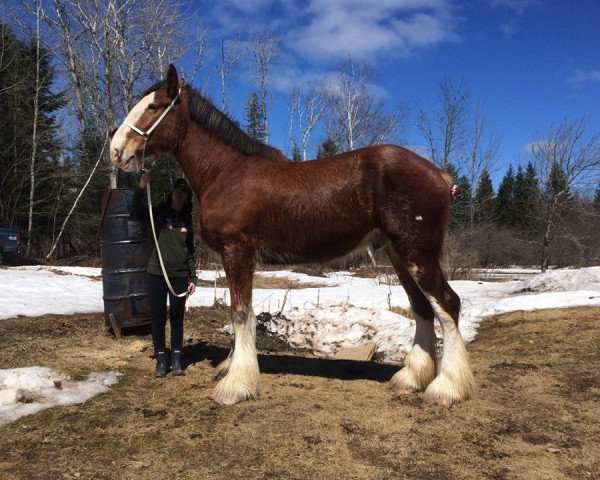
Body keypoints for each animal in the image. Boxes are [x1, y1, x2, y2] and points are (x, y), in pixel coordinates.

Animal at [108, 65, 474, 406]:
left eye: (154, 106)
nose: (115, 150)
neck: (226, 172)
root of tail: (439, 175)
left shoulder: (236, 250)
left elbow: (241, 312)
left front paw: (235, 385)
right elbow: (238, 310)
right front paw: (229, 368)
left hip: (417, 253)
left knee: (447, 304)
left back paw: (446, 389)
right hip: (399, 254)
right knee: (422, 308)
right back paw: (411, 379)